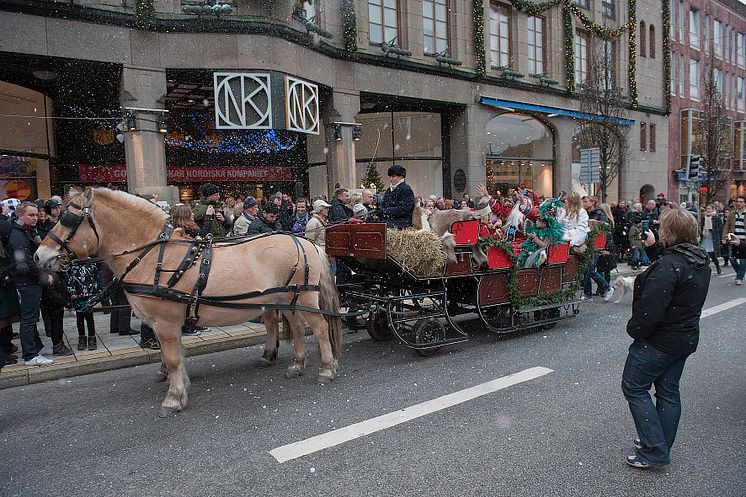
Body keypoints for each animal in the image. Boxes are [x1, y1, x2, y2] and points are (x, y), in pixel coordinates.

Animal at [36, 187, 342, 414]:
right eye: (59, 216)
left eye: (67, 220)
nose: (39, 257)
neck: (153, 254)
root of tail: (306, 242)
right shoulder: (164, 323)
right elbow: (175, 356)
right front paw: (180, 385)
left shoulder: (165, 321)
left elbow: (172, 358)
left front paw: (173, 398)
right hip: (286, 297)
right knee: (298, 328)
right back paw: (297, 364)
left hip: (304, 297)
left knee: (320, 329)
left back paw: (327, 369)